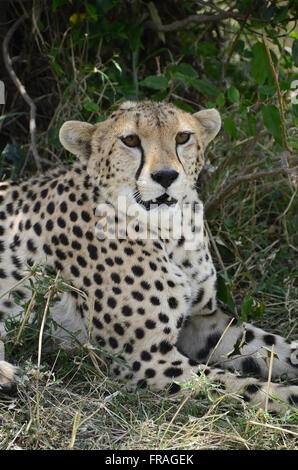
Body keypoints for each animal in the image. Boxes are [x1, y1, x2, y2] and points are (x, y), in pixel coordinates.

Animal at [0, 102, 298, 412]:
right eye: (130, 140)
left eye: (183, 137)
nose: (165, 176)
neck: (170, 231)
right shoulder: (148, 360)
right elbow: (246, 388)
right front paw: (290, 396)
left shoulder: (205, 321)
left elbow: (267, 345)